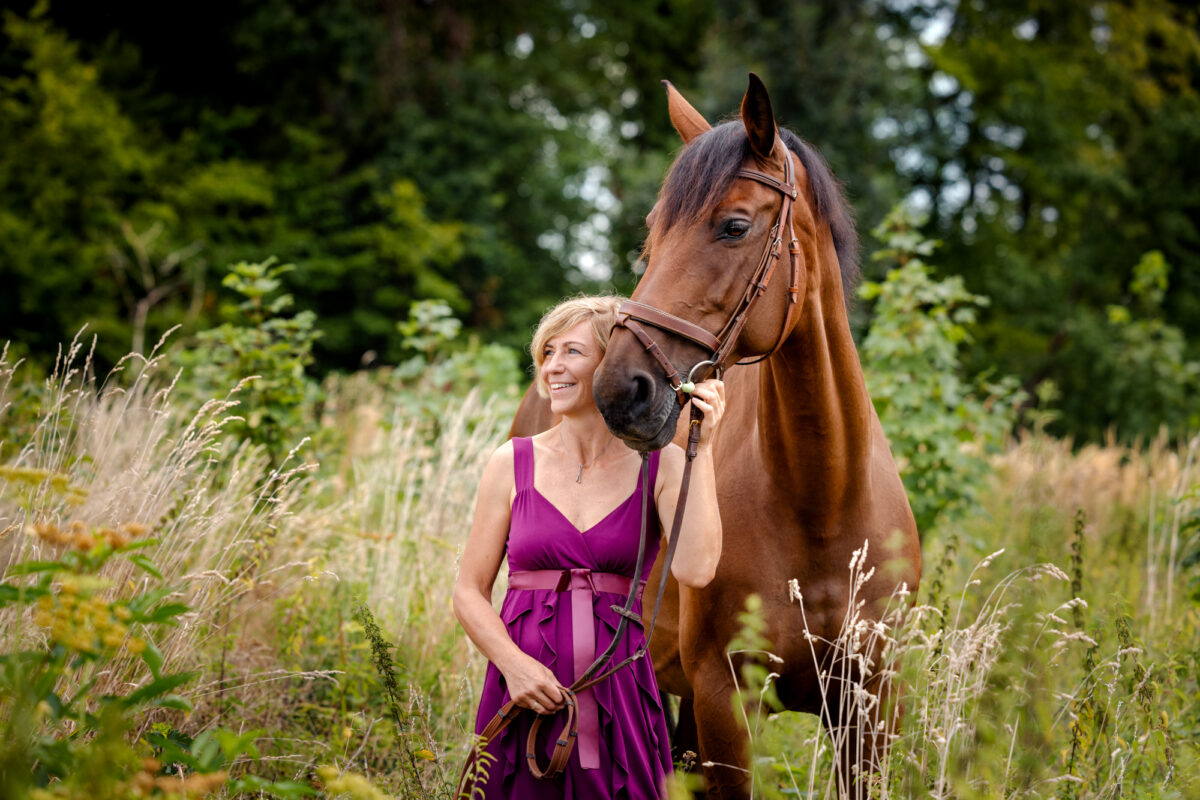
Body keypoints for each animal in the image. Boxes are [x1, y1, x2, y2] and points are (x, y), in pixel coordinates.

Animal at [510, 74, 921, 799]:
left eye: (734, 226)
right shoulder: (724, 700)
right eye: (653, 232)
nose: (618, 391)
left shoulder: (872, 709)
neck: (823, 498)